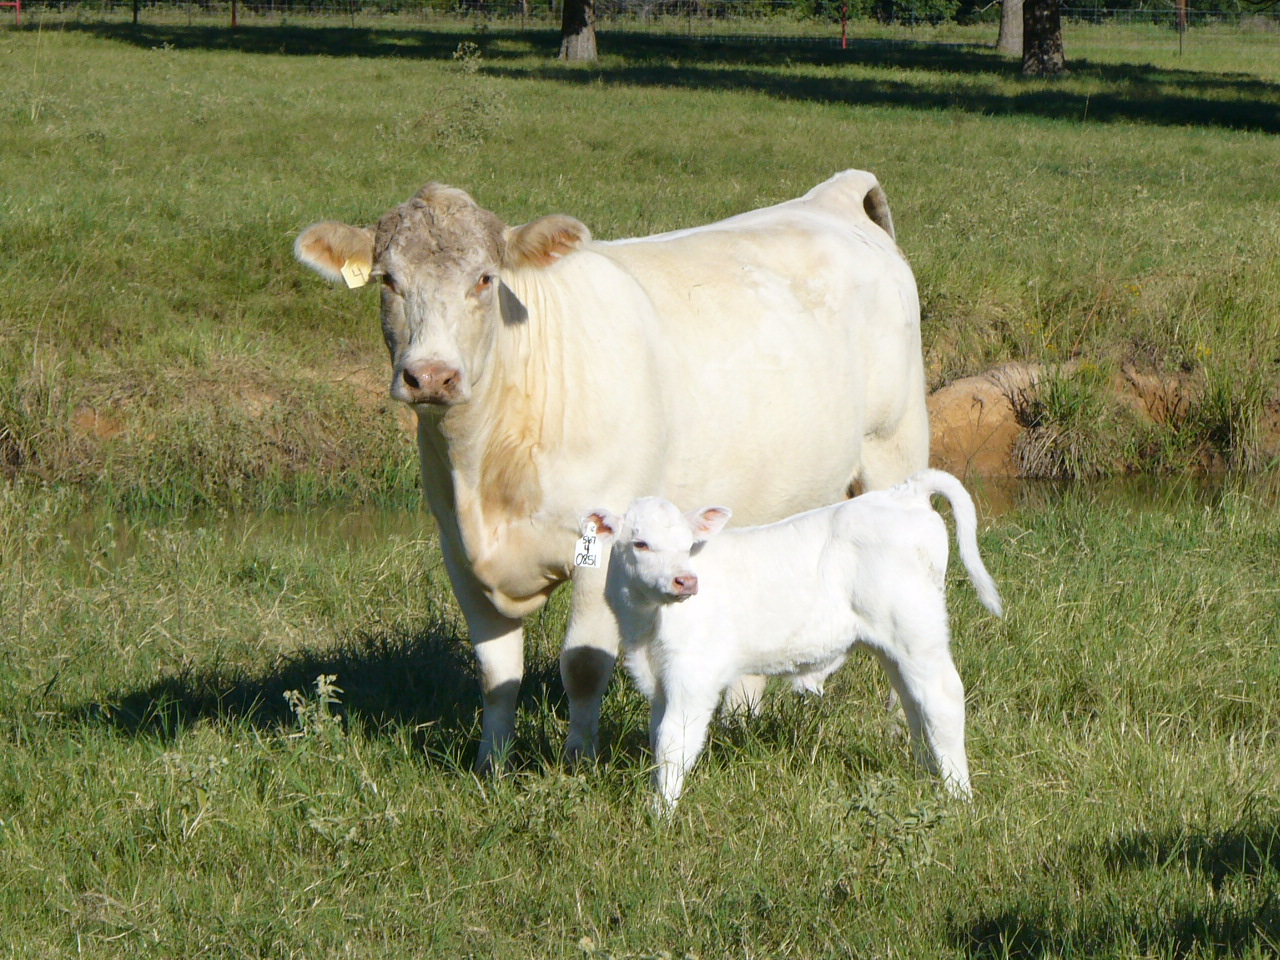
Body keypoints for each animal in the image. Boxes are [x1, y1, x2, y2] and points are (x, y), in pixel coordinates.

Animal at [293, 172, 926, 773]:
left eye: (485, 279)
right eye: (387, 280)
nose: (431, 376)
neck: (487, 470)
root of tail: (831, 197)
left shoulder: (598, 544)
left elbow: (583, 664)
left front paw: (578, 762)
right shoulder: (457, 549)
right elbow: (496, 673)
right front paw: (490, 766)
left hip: (894, 448)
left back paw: (901, 726)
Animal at [586, 471, 1003, 814]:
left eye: (688, 545)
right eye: (640, 544)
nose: (686, 581)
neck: (645, 626)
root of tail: (904, 494)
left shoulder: (693, 675)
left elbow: (674, 742)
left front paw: (662, 816)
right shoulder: (659, 679)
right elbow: (658, 736)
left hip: (917, 628)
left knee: (942, 698)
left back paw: (958, 795)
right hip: (892, 643)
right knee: (914, 703)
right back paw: (927, 776)